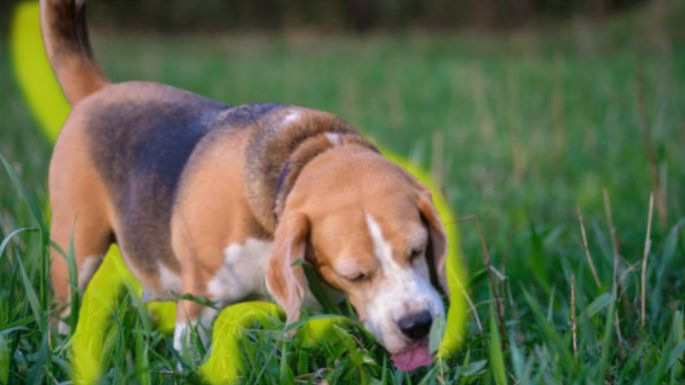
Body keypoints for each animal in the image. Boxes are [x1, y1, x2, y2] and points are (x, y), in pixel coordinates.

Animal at [41, 0, 448, 372]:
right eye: (357, 276)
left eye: (418, 250)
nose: (417, 325)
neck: (302, 157)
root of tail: (98, 92)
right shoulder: (198, 300)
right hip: (76, 251)